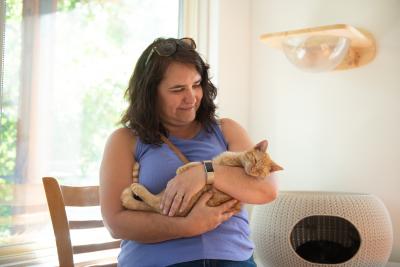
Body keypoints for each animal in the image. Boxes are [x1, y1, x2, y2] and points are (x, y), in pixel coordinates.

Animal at [120, 141, 282, 217]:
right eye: (255, 160)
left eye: (260, 172)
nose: (253, 171)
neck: (238, 163)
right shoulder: (215, 162)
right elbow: (201, 163)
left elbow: (198, 165)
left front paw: (182, 169)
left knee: (155, 202)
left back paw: (138, 188)